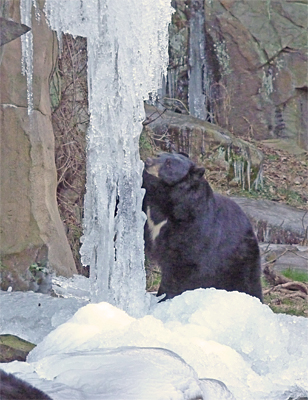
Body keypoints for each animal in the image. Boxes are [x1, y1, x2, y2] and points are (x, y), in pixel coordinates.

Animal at [143, 152, 264, 302]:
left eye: (169, 164)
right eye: (159, 155)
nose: (148, 161)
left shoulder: (193, 228)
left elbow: (181, 265)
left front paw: (165, 297)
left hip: (239, 262)